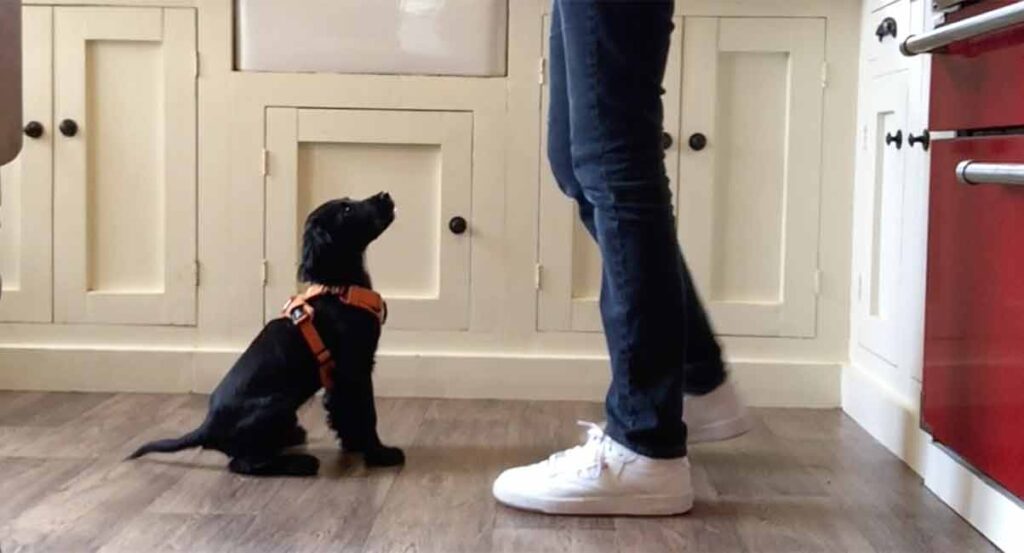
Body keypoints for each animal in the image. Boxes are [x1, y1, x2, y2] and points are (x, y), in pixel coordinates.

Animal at [125, 191, 401, 475]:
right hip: (279, 402)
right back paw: (301, 462)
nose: (385, 195)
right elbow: (367, 413)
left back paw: (293, 437)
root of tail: (206, 428)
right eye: (346, 210)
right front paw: (380, 454)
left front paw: (355, 444)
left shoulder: (339, 377)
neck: (340, 288)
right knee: (244, 463)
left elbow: (343, 412)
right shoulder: (355, 367)